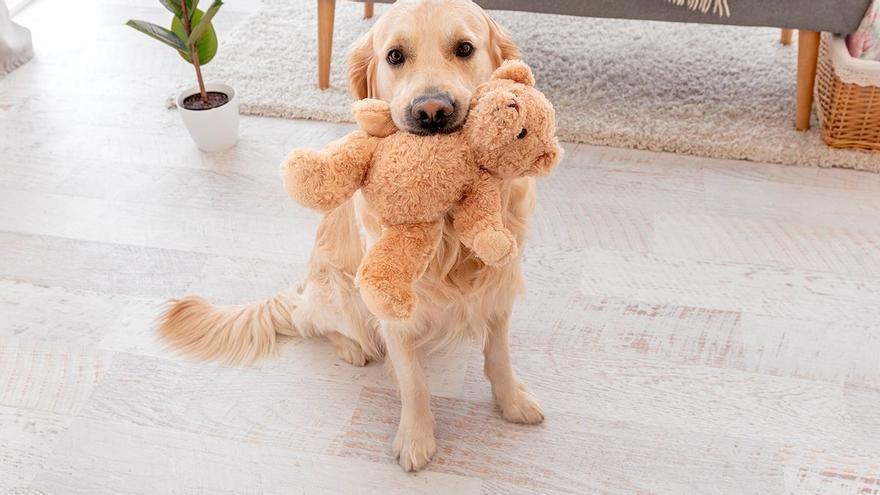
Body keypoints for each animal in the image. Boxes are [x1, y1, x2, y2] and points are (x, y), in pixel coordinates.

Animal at [160, 0, 544, 472]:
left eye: (465, 48)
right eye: (395, 56)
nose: (432, 111)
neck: (450, 227)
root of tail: (303, 285)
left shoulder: (499, 284)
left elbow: (499, 355)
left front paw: (512, 402)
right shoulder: (392, 307)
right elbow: (414, 382)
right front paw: (416, 438)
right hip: (342, 293)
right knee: (309, 321)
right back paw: (349, 347)